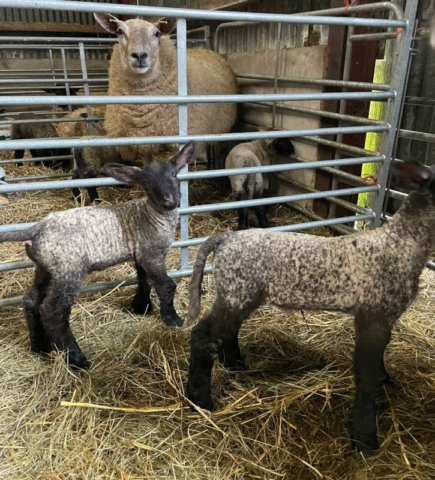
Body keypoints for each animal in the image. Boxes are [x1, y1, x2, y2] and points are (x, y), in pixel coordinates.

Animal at [0, 141, 196, 370]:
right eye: (146, 182)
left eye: (174, 174)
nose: (169, 200)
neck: (151, 215)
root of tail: (35, 230)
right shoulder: (151, 254)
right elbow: (166, 286)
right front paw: (174, 320)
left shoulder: (140, 254)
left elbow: (143, 280)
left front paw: (141, 307)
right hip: (69, 268)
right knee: (52, 311)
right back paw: (78, 360)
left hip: (45, 267)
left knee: (31, 300)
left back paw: (40, 347)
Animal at [93, 13, 238, 164]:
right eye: (119, 31)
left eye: (157, 33)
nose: (139, 55)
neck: (142, 113)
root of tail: (205, 50)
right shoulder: (144, 141)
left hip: (220, 124)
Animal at [186, 159, 435, 452]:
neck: (400, 246)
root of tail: (225, 239)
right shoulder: (372, 316)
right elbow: (366, 374)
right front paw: (364, 437)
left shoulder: (383, 318)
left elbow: (376, 363)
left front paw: (384, 380)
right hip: (238, 289)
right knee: (203, 336)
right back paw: (200, 400)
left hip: (238, 292)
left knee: (225, 332)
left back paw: (235, 365)